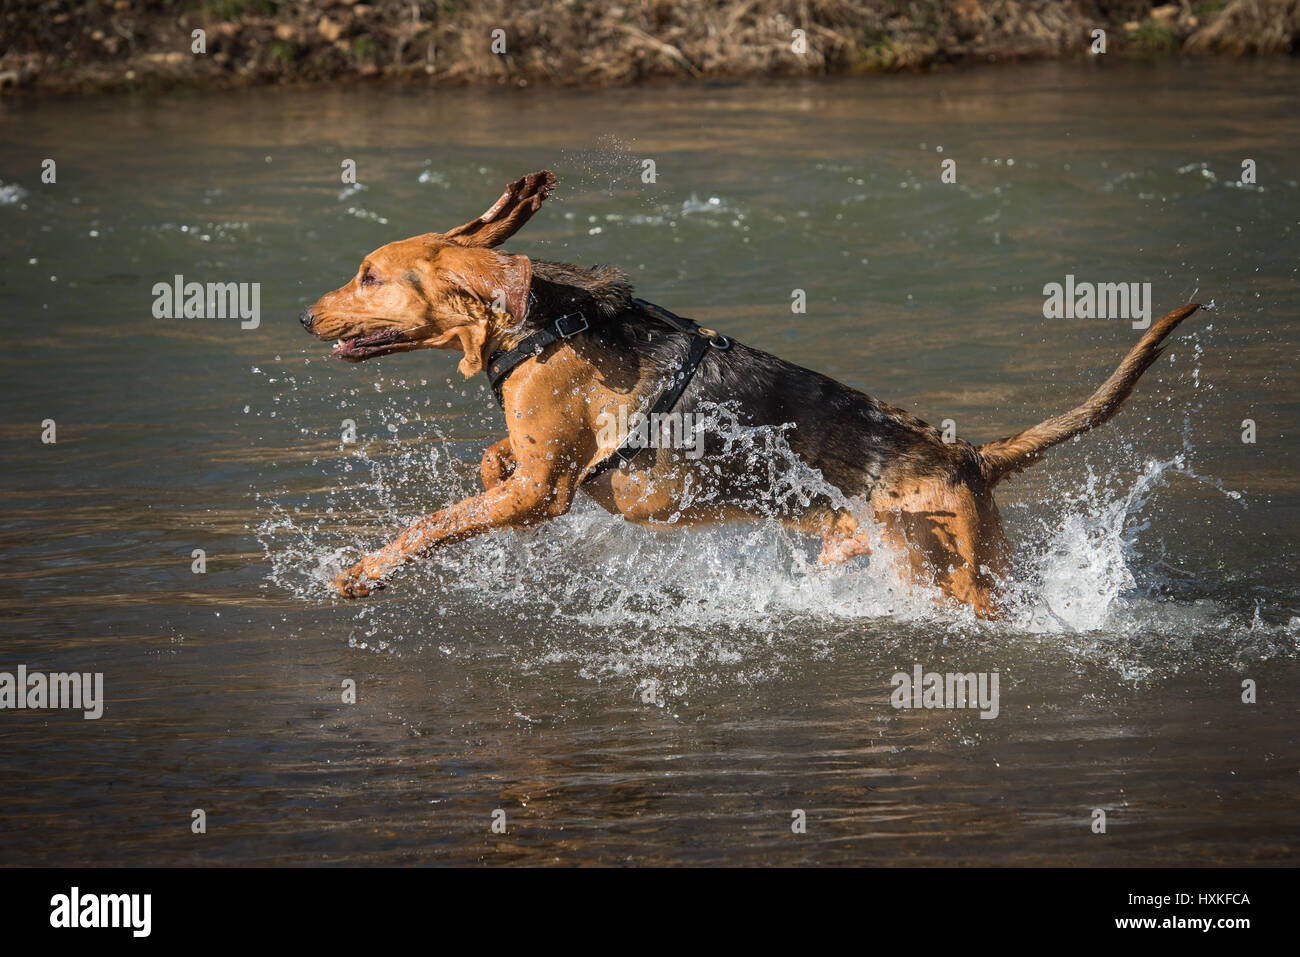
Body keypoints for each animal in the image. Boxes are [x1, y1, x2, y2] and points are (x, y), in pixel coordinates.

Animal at [301, 170, 1196, 621]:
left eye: (369, 276)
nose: (305, 314)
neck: (548, 320)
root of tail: (966, 455)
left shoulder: (541, 492)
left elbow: (428, 526)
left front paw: (360, 573)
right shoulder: (533, 472)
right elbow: (491, 464)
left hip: (950, 573)